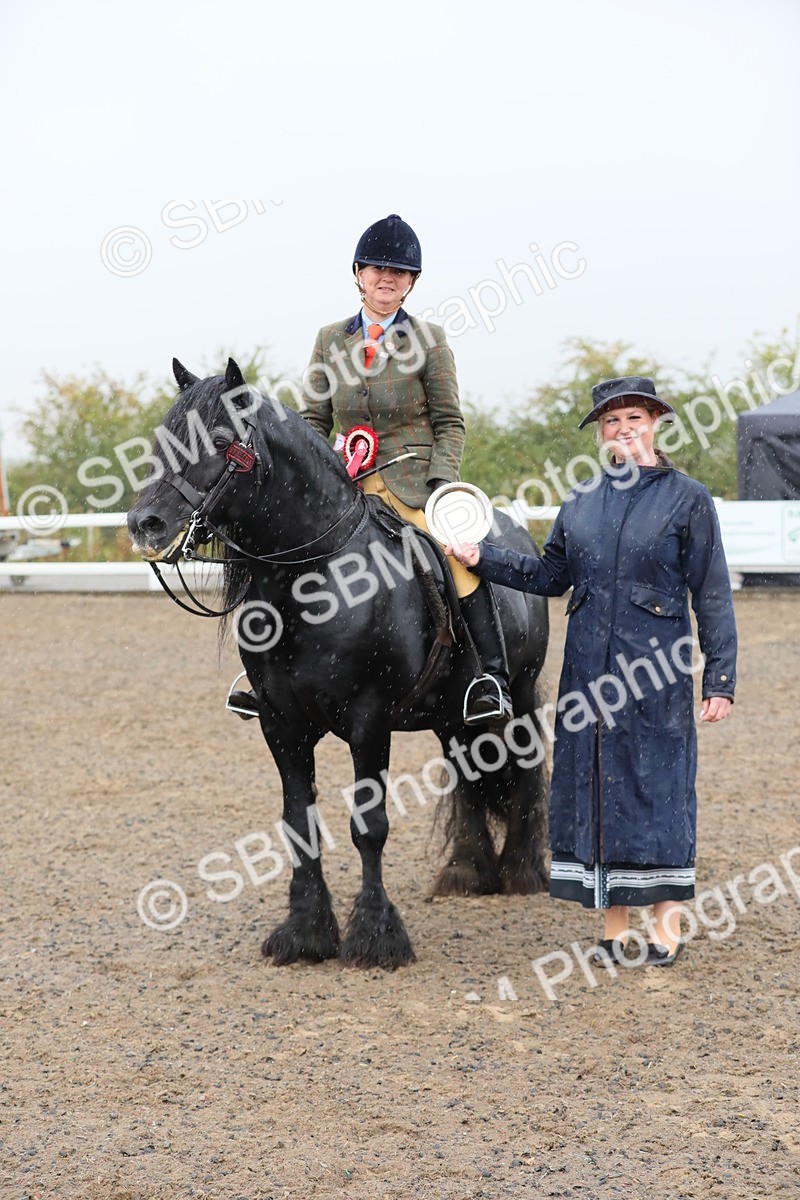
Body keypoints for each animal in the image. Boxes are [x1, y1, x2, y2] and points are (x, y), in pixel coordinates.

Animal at [128, 358, 550, 969]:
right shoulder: (281, 725)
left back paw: (521, 870)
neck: (316, 580)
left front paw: (375, 935)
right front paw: (305, 931)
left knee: (525, 769)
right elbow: (298, 823)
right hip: (451, 716)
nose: (146, 524)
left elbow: (368, 826)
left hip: (521, 694)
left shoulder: (368, 721)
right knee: (469, 770)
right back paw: (468, 872)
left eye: (224, 442)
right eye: (163, 441)